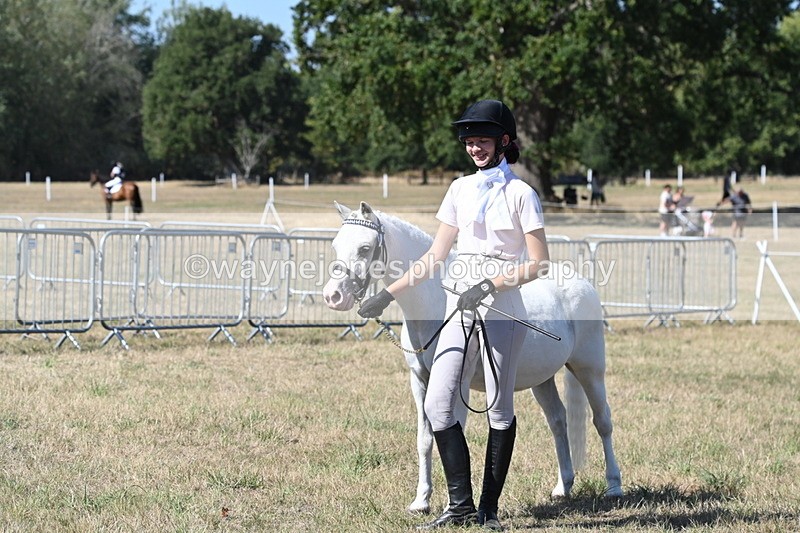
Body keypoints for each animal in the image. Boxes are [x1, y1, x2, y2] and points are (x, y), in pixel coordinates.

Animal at [322, 201, 622, 514]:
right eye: (335, 245)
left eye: (365, 248)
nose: (333, 296)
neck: (436, 305)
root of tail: (583, 284)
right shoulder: (420, 382)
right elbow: (425, 439)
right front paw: (421, 501)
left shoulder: (458, 384)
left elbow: (454, 432)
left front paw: (452, 506)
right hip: (542, 378)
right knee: (558, 421)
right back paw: (563, 487)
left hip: (589, 369)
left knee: (602, 421)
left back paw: (614, 486)